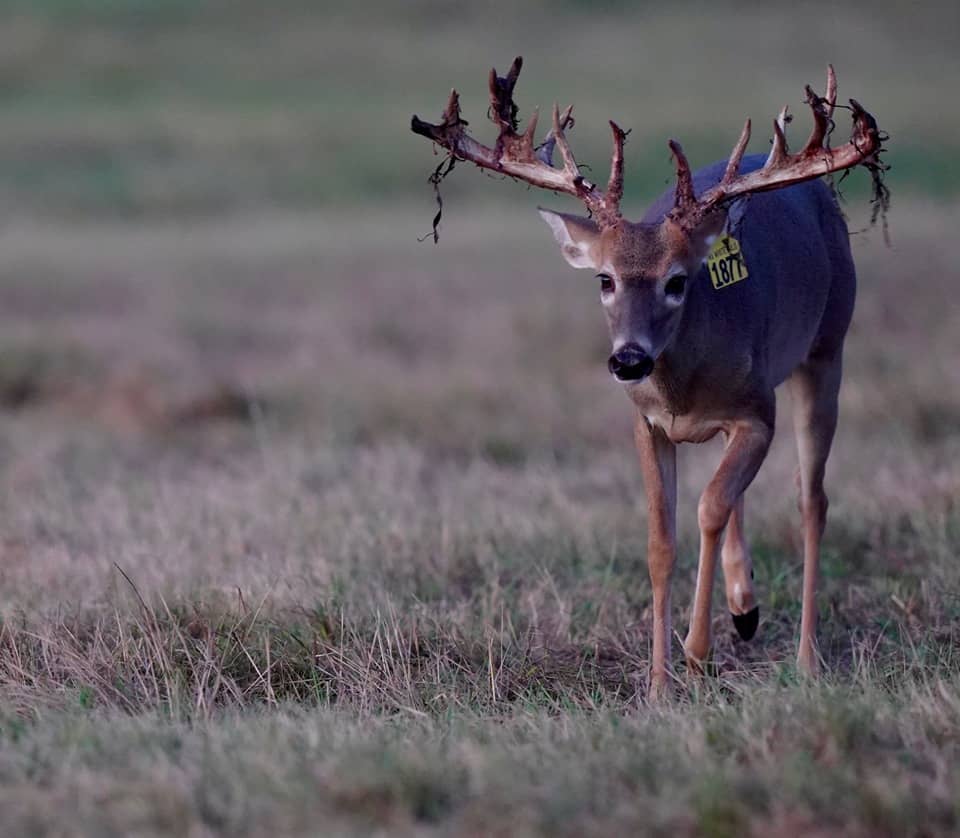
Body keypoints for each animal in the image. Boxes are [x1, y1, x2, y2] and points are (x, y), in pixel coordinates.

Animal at [410, 57, 884, 698]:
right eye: (604, 279)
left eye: (677, 281)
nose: (629, 359)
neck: (685, 390)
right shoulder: (648, 424)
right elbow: (662, 539)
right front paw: (660, 685)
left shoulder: (758, 412)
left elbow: (710, 509)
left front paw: (697, 653)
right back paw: (745, 604)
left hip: (826, 349)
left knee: (812, 499)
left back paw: (807, 660)